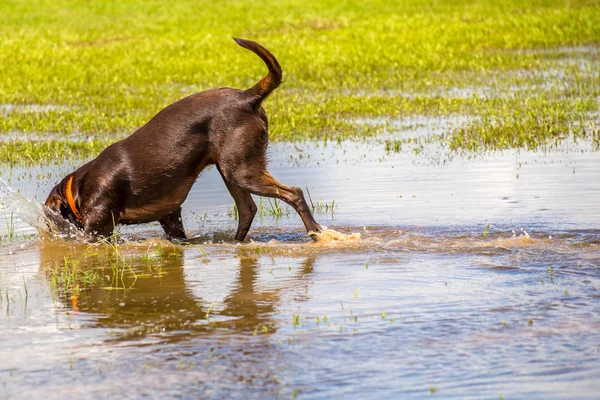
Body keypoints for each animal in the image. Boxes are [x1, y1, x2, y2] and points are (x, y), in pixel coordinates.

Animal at [45, 38, 324, 241]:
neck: (77, 189)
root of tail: (248, 97)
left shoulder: (98, 228)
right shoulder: (170, 215)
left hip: (241, 171)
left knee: (293, 193)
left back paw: (315, 232)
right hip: (230, 169)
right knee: (248, 209)